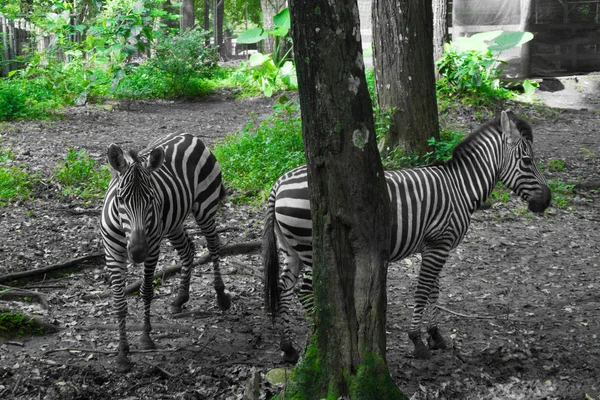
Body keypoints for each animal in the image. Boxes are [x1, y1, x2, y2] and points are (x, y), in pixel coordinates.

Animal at [99, 133, 231, 370]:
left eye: (151, 199)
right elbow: (119, 302)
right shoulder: (112, 252)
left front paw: (145, 337)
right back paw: (180, 298)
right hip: (174, 223)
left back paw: (220, 295)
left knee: (213, 244)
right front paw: (122, 353)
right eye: (121, 199)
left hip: (205, 207)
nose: (137, 252)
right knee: (188, 249)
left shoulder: (152, 249)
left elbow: (146, 291)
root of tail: (189, 136)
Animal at [264, 110, 552, 362]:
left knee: (285, 288)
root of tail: (279, 183)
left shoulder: (435, 245)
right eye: (527, 162)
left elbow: (435, 288)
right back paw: (320, 335)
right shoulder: (439, 244)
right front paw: (417, 341)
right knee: (304, 290)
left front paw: (435, 336)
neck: (460, 188)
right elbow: (423, 289)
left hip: (291, 248)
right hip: (312, 248)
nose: (546, 201)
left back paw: (288, 348)